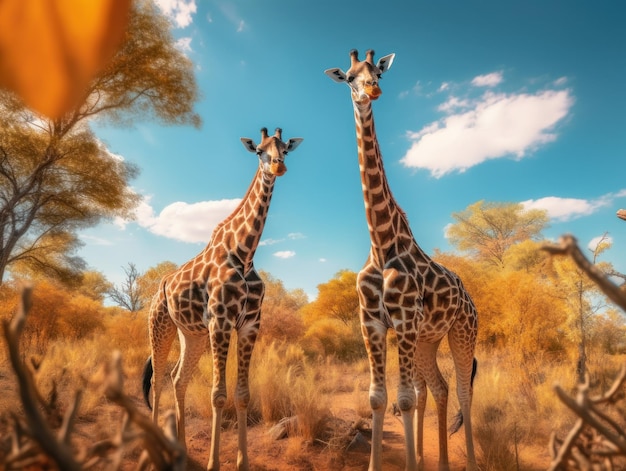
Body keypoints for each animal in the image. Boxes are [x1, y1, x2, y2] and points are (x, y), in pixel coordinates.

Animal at [142, 128, 302, 471]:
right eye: (259, 151)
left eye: (285, 149)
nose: (278, 167)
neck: (244, 254)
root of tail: (161, 285)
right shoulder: (221, 320)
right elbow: (218, 395)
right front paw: (215, 463)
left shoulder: (250, 324)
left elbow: (242, 395)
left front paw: (243, 462)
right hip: (160, 325)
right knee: (157, 380)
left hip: (191, 334)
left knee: (177, 379)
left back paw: (182, 448)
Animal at [324, 50, 476, 471]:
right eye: (350, 77)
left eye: (378, 71)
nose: (372, 90)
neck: (381, 244)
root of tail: (470, 299)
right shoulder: (373, 323)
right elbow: (379, 398)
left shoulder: (404, 321)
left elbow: (404, 399)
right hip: (428, 339)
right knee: (438, 388)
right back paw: (433, 460)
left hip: (462, 333)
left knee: (462, 391)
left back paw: (468, 462)